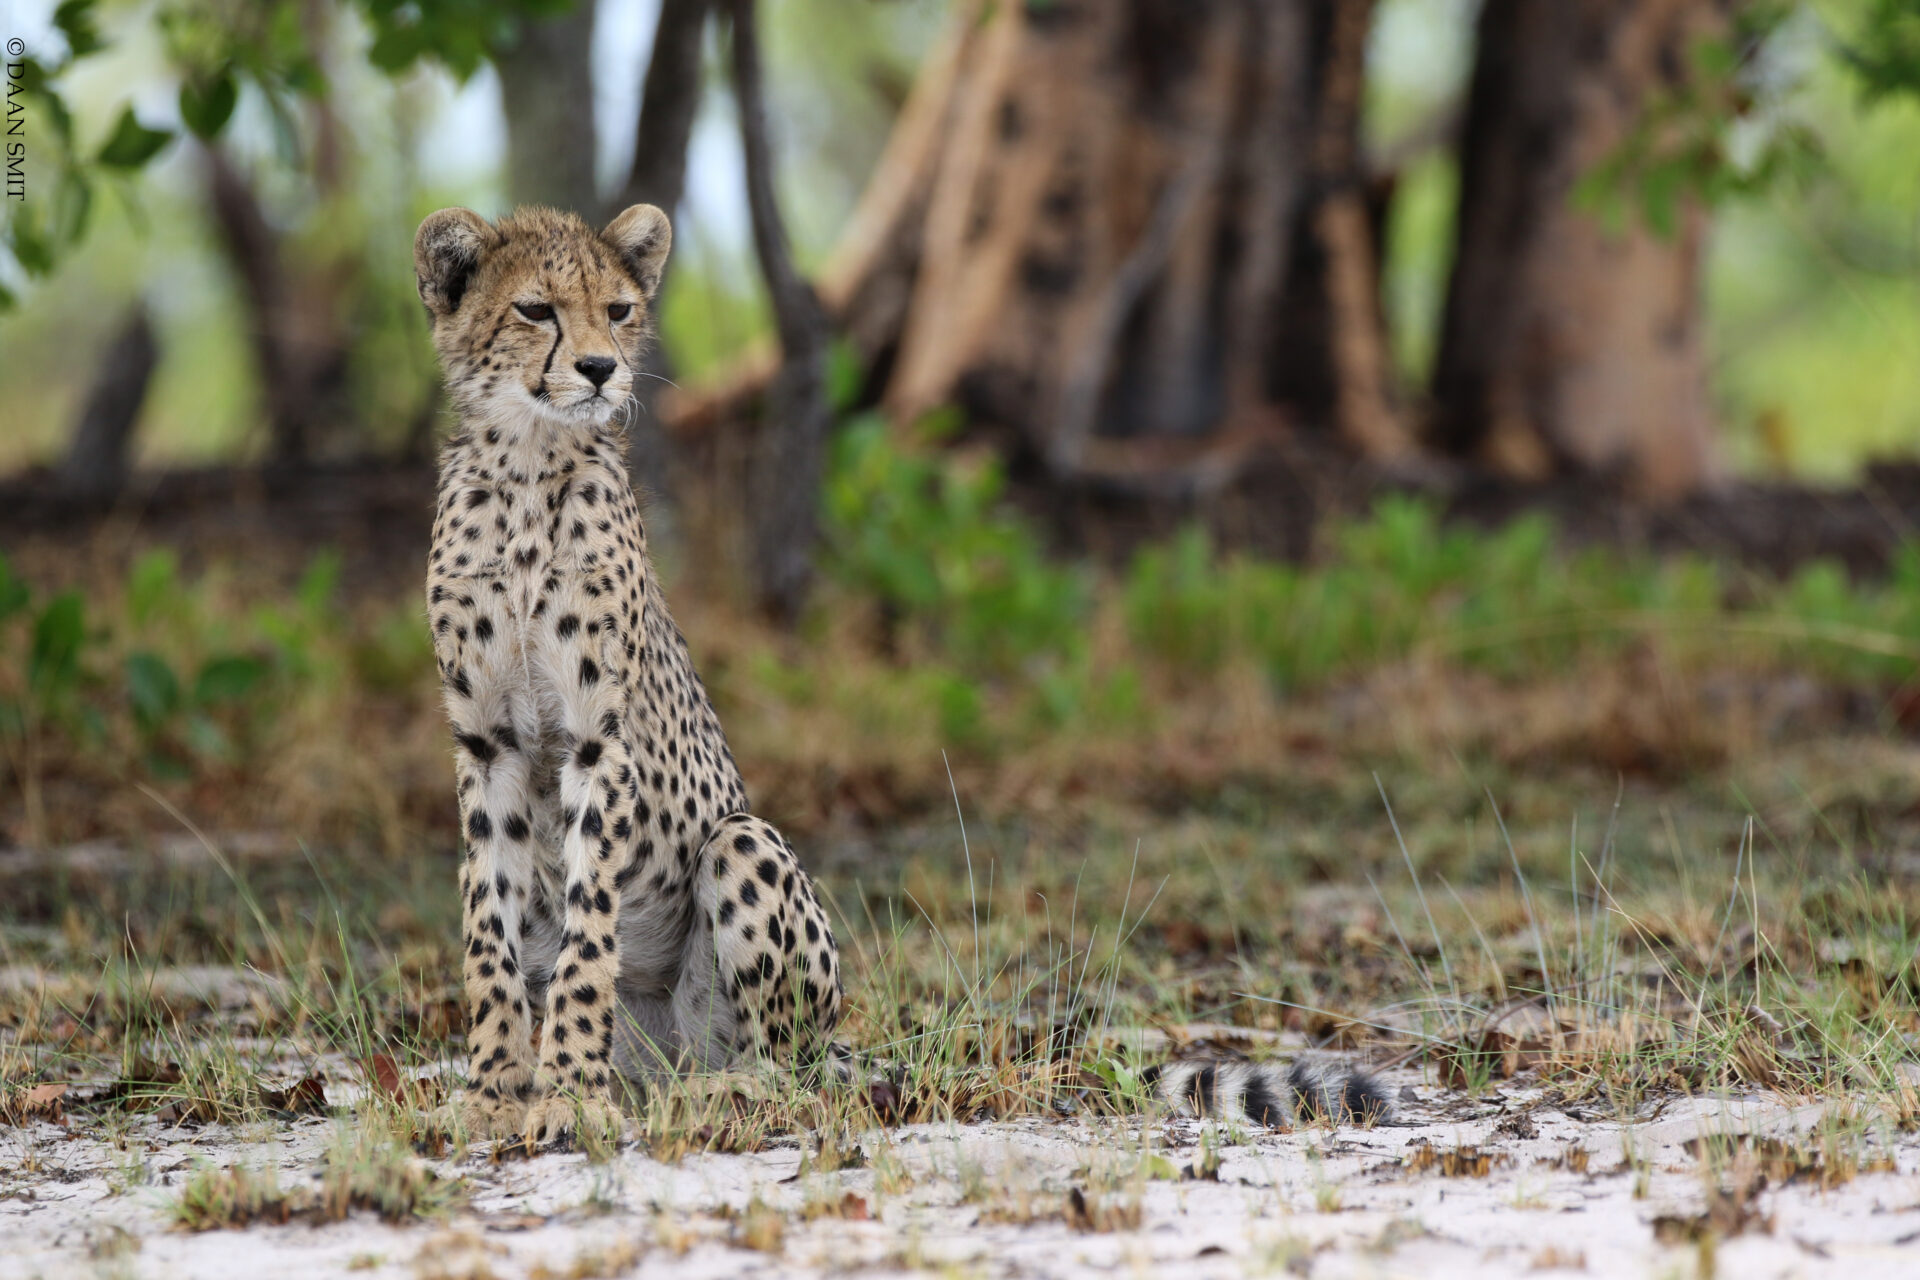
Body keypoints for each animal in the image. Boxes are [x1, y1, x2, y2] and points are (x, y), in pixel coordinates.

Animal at [414, 203, 841, 1145]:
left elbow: (589, 928)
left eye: (616, 310)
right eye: (536, 310)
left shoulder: (594, 738)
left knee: (788, 1070)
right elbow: (487, 929)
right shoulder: (485, 742)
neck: (528, 462)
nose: (601, 368)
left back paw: (718, 1094)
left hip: (744, 844)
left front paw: (569, 1092)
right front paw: (496, 1089)